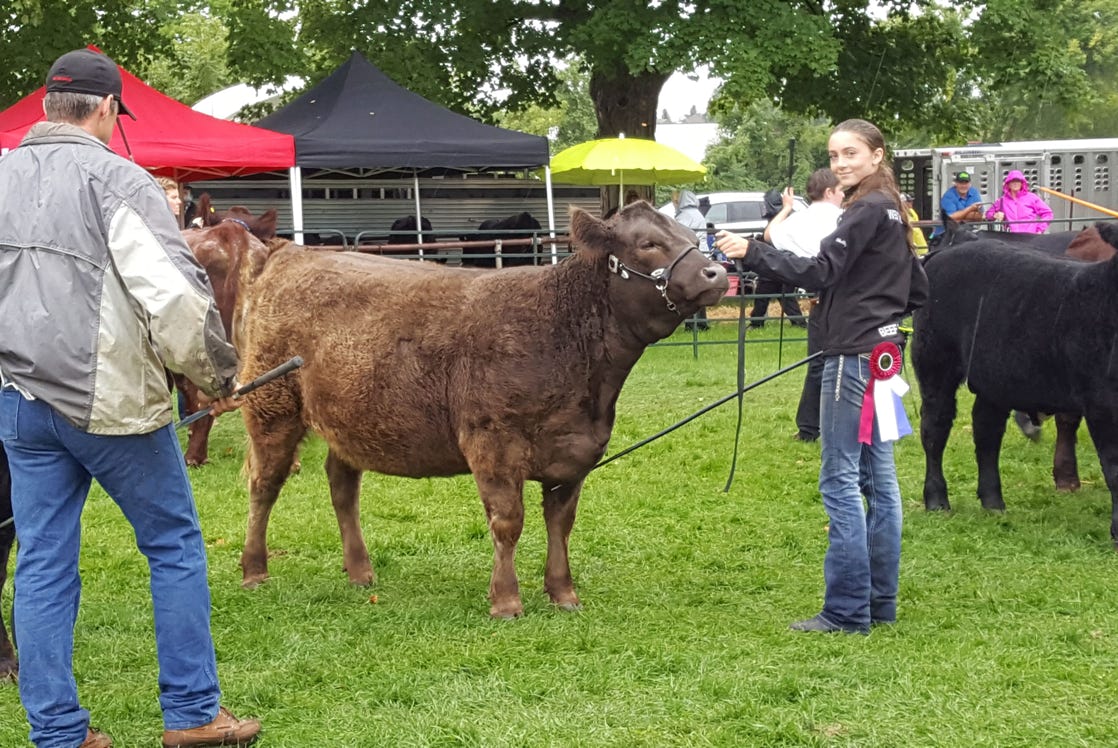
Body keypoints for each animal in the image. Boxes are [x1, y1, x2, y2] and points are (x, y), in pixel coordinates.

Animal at [232, 201, 728, 618]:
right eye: (648, 244)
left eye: (689, 233)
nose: (717, 273)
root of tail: (287, 253)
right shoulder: (493, 442)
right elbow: (508, 522)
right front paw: (506, 601)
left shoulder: (576, 452)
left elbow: (560, 524)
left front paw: (563, 593)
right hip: (271, 406)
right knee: (264, 485)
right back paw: (254, 570)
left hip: (349, 418)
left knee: (341, 485)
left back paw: (360, 571)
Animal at [912, 227, 1118, 544]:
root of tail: (945, 251)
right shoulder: (1102, 405)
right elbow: (1114, 468)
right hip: (936, 363)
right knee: (935, 429)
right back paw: (937, 501)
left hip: (995, 377)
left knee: (986, 431)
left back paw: (993, 502)